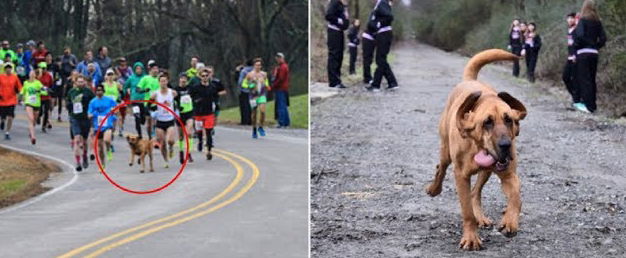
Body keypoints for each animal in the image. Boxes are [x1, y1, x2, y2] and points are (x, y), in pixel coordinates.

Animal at [426, 48, 524, 250]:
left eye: (509, 120)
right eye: (487, 122)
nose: (506, 146)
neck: (476, 146)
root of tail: (469, 80)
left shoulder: (509, 175)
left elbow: (516, 198)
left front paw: (510, 222)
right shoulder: (461, 176)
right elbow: (467, 212)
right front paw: (471, 238)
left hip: (486, 172)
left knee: (475, 192)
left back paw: (482, 217)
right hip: (446, 152)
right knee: (441, 168)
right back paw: (434, 189)